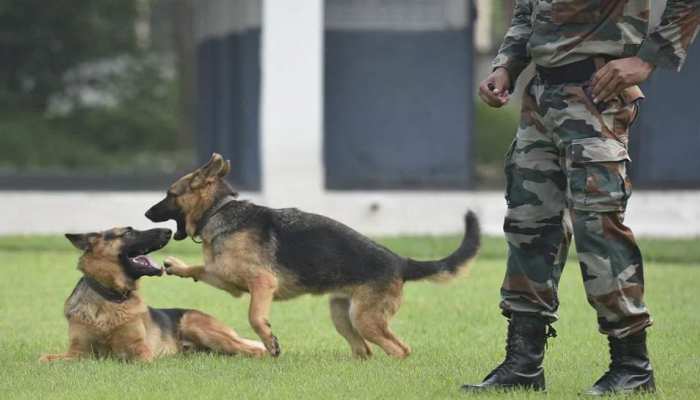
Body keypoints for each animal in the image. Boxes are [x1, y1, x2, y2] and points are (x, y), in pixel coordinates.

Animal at [40, 225, 266, 362]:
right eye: (128, 232)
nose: (168, 230)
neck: (112, 296)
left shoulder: (141, 352)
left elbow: (124, 357)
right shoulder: (77, 352)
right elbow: (44, 358)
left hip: (196, 325)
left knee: (254, 349)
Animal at [145, 154, 478, 360]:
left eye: (170, 194)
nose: (147, 214)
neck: (219, 210)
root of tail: (400, 261)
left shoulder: (262, 284)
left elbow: (255, 317)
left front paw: (270, 342)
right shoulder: (227, 280)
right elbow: (201, 269)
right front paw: (177, 266)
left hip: (365, 319)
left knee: (400, 349)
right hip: (343, 316)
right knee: (365, 351)